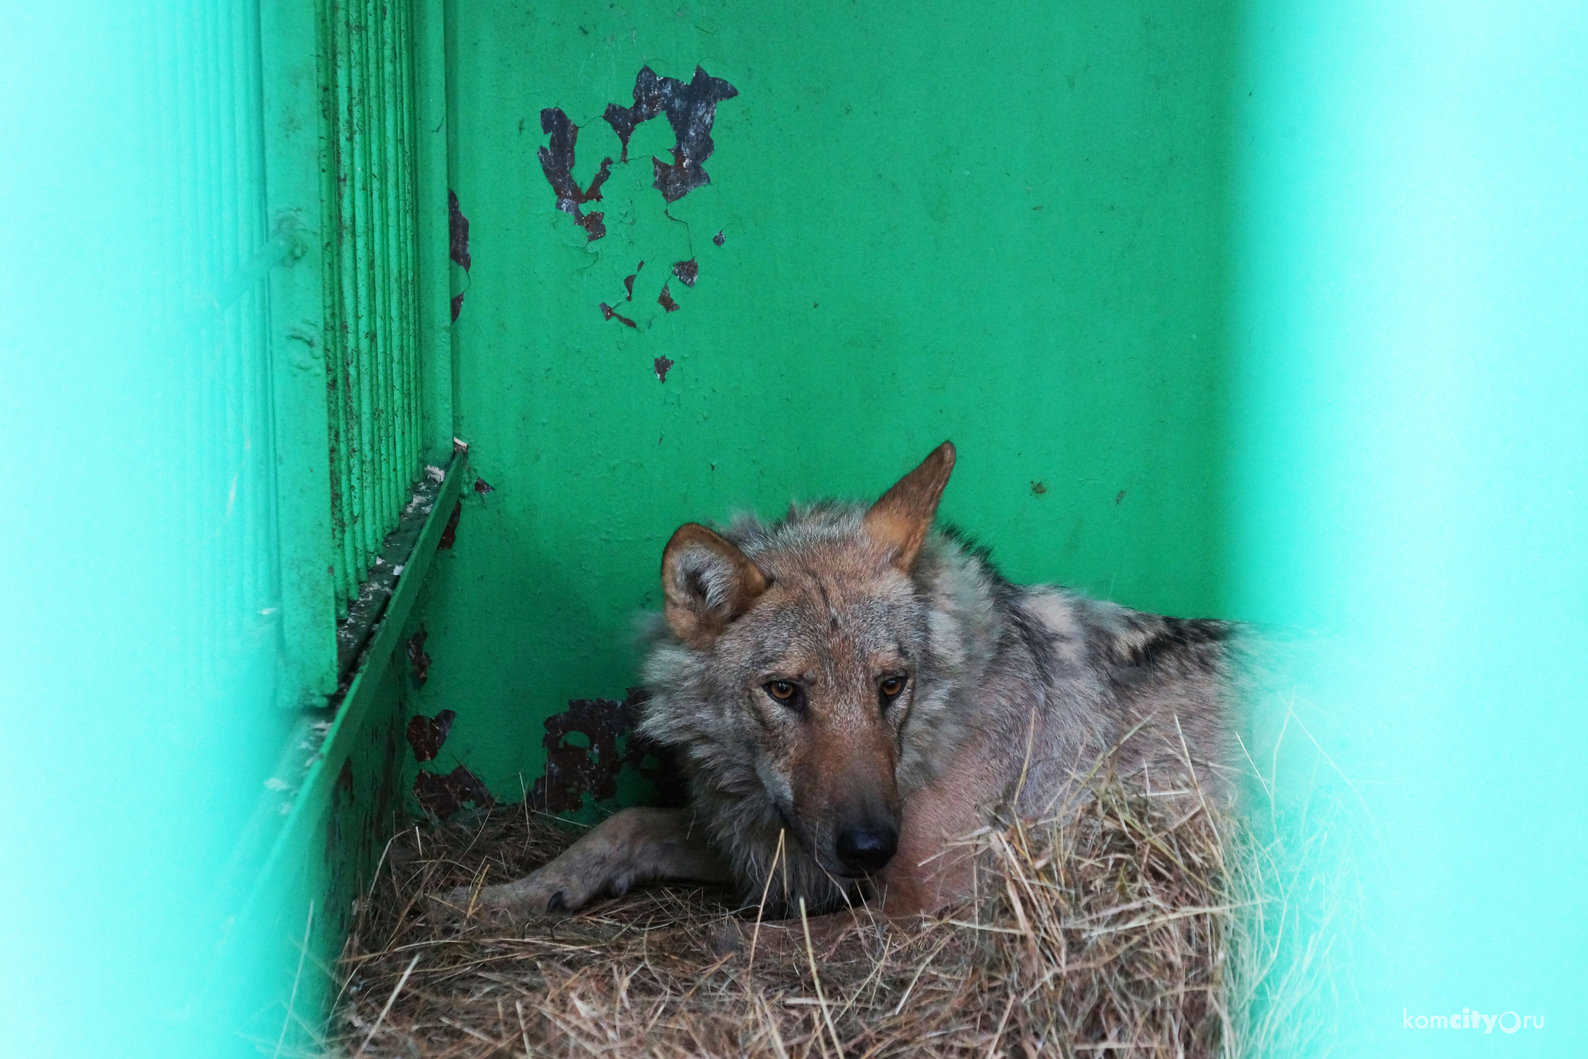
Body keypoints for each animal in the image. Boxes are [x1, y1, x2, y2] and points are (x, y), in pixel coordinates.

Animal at [460, 441, 1225, 920]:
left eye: (891, 685)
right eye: (785, 691)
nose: (869, 847)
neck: (943, 721)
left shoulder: (921, 907)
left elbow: (743, 940)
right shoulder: (769, 848)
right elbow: (623, 823)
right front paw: (513, 894)